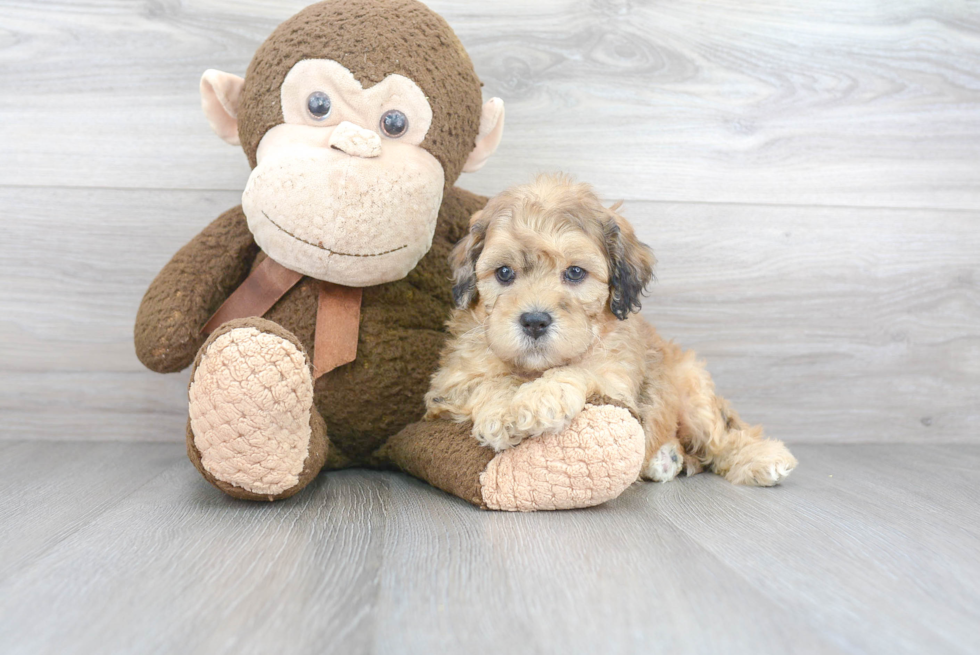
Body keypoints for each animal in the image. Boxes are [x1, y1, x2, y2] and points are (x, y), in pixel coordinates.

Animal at [426, 174, 796, 486]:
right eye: (504, 272)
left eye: (575, 272)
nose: (534, 321)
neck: (535, 367)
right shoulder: (450, 384)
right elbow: (490, 383)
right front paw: (504, 412)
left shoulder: (615, 379)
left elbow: (577, 371)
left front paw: (537, 400)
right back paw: (667, 458)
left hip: (694, 395)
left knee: (721, 438)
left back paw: (761, 458)